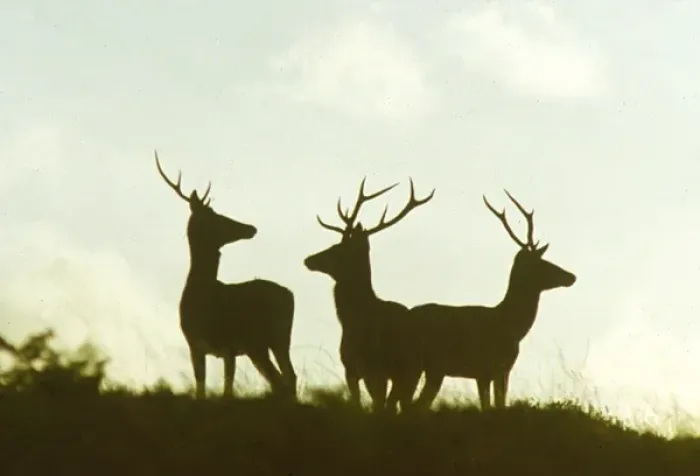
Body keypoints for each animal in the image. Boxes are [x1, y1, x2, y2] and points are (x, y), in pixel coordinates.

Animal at [154, 151, 297, 400]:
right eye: (217, 216)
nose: (251, 228)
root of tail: (290, 295)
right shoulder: (195, 345)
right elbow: (201, 389)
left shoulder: (229, 345)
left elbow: (226, 391)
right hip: (272, 342)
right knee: (287, 379)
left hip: (264, 341)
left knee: (283, 382)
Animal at [303, 177, 434, 412]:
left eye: (338, 248)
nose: (309, 259)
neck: (353, 321)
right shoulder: (354, 369)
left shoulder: (369, 369)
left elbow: (373, 405)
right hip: (411, 371)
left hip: (402, 369)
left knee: (394, 404)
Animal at [397, 190, 576, 411]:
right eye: (542, 263)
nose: (572, 277)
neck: (511, 328)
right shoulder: (484, 369)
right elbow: (489, 407)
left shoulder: (502, 370)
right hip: (416, 362)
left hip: (429, 368)